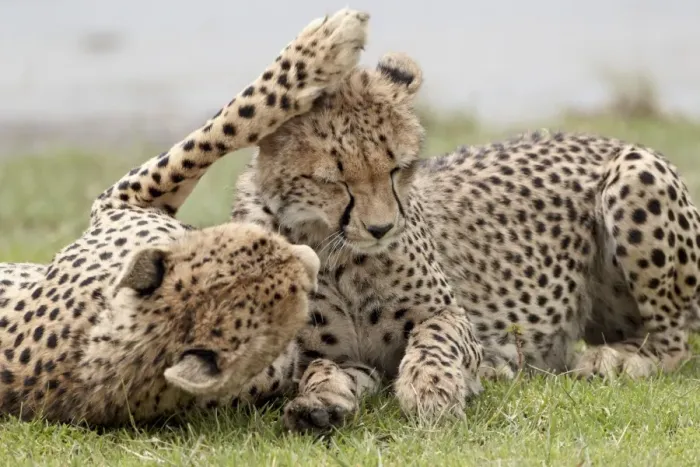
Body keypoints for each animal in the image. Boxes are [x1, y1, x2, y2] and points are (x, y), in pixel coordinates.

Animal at [0, 7, 369, 427]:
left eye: (254, 244)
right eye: (292, 300)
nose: (311, 261)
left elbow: (204, 141)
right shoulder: (121, 199)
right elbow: (224, 127)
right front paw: (322, 49)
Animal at [230, 52, 700, 433]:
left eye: (398, 168)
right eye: (333, 180)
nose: (382, 228)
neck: (336, 250)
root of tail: (601, 137)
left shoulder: (451, 315)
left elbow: (436, 338)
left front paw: (432, 388)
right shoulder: (334, 355)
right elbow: (323, 369)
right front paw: (319, 402)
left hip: (635, 172)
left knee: (672, 342)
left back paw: (614, 360)